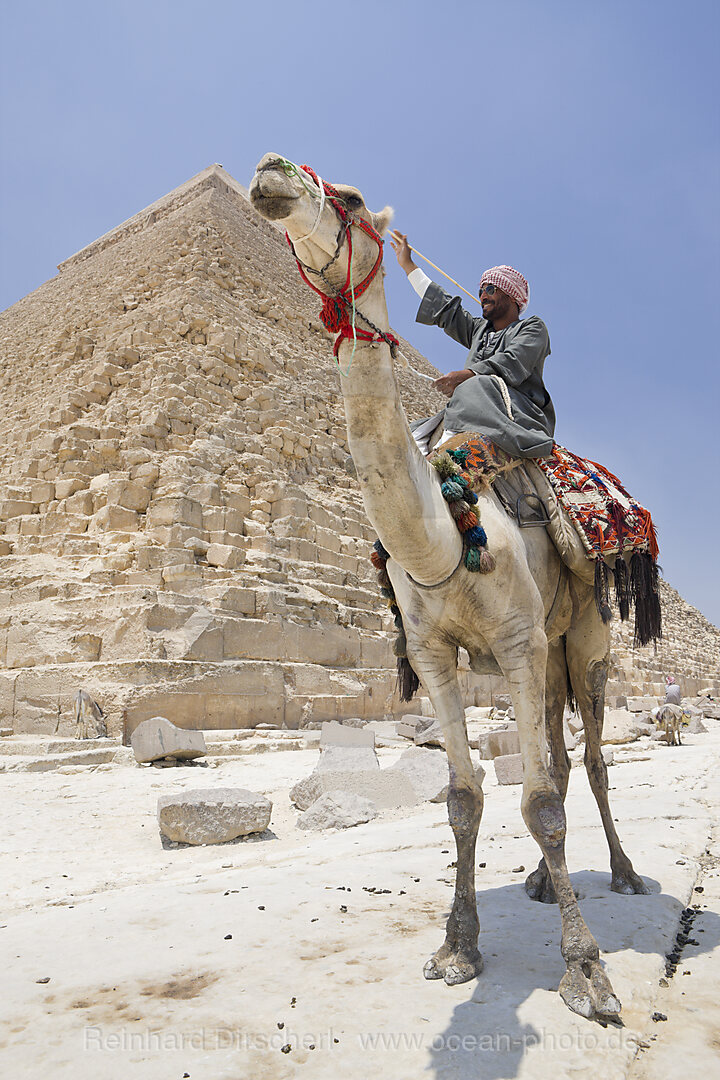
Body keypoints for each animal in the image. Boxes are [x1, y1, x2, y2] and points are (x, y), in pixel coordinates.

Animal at [250, 152, 651, 1019]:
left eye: (352, 198)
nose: (269, 173)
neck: (444, 531)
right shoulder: (436, 655)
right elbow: (466, 797)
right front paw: (457, 945)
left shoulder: (520, 641)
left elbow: (539, 801)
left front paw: (585, 970)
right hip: (541, 660)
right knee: (558, 759)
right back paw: (541, 883)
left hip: (583, 641)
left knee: (590, 761)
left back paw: (626, 872)